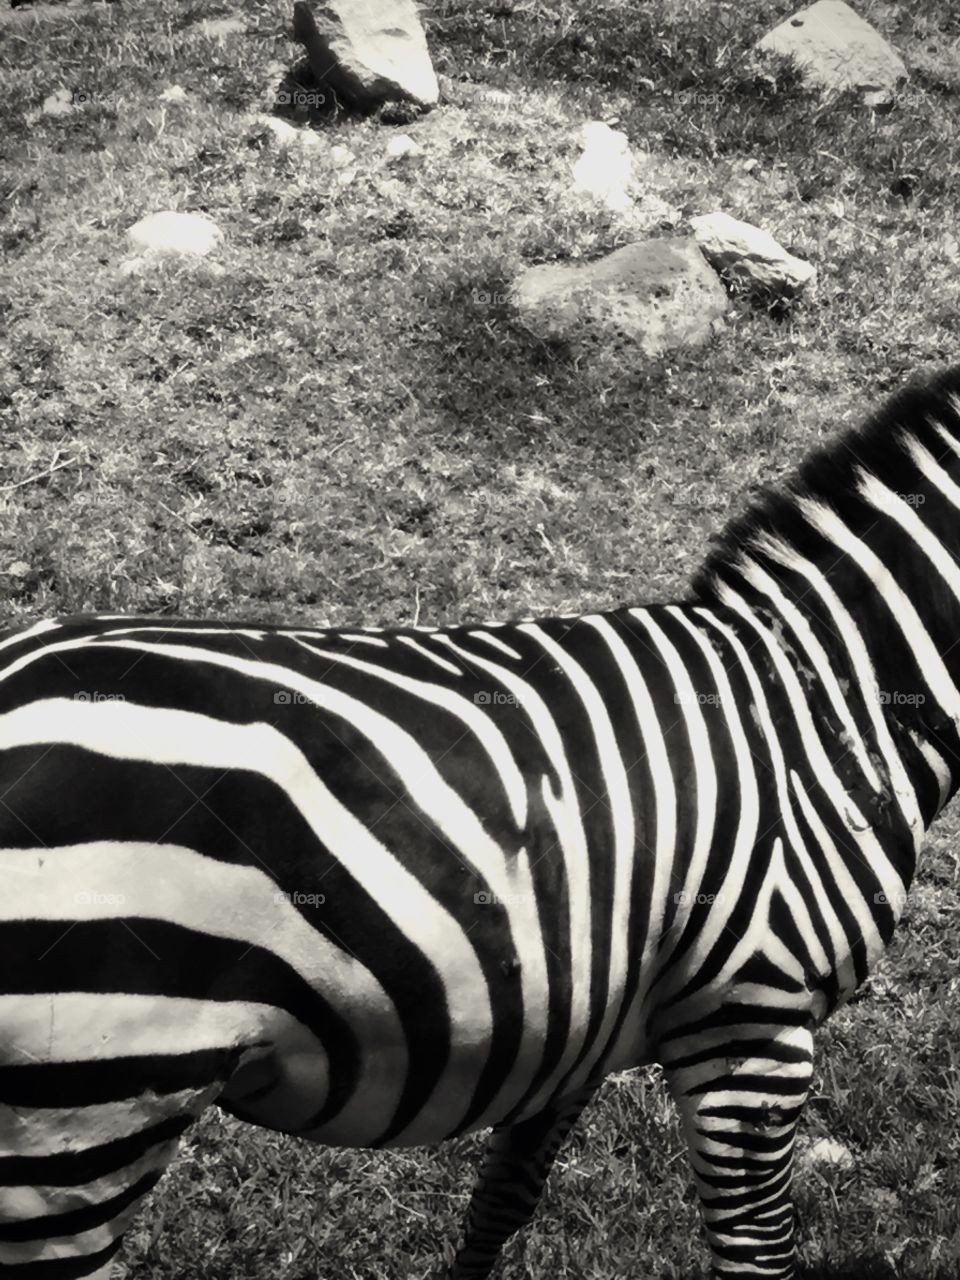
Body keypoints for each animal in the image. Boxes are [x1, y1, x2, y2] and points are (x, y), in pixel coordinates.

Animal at [2, 366, 960, 1280]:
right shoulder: (752, 1016)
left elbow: (503, 1197)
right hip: (89, 1108)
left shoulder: (580, 1022)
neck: (827, 697)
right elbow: (755, 1248)